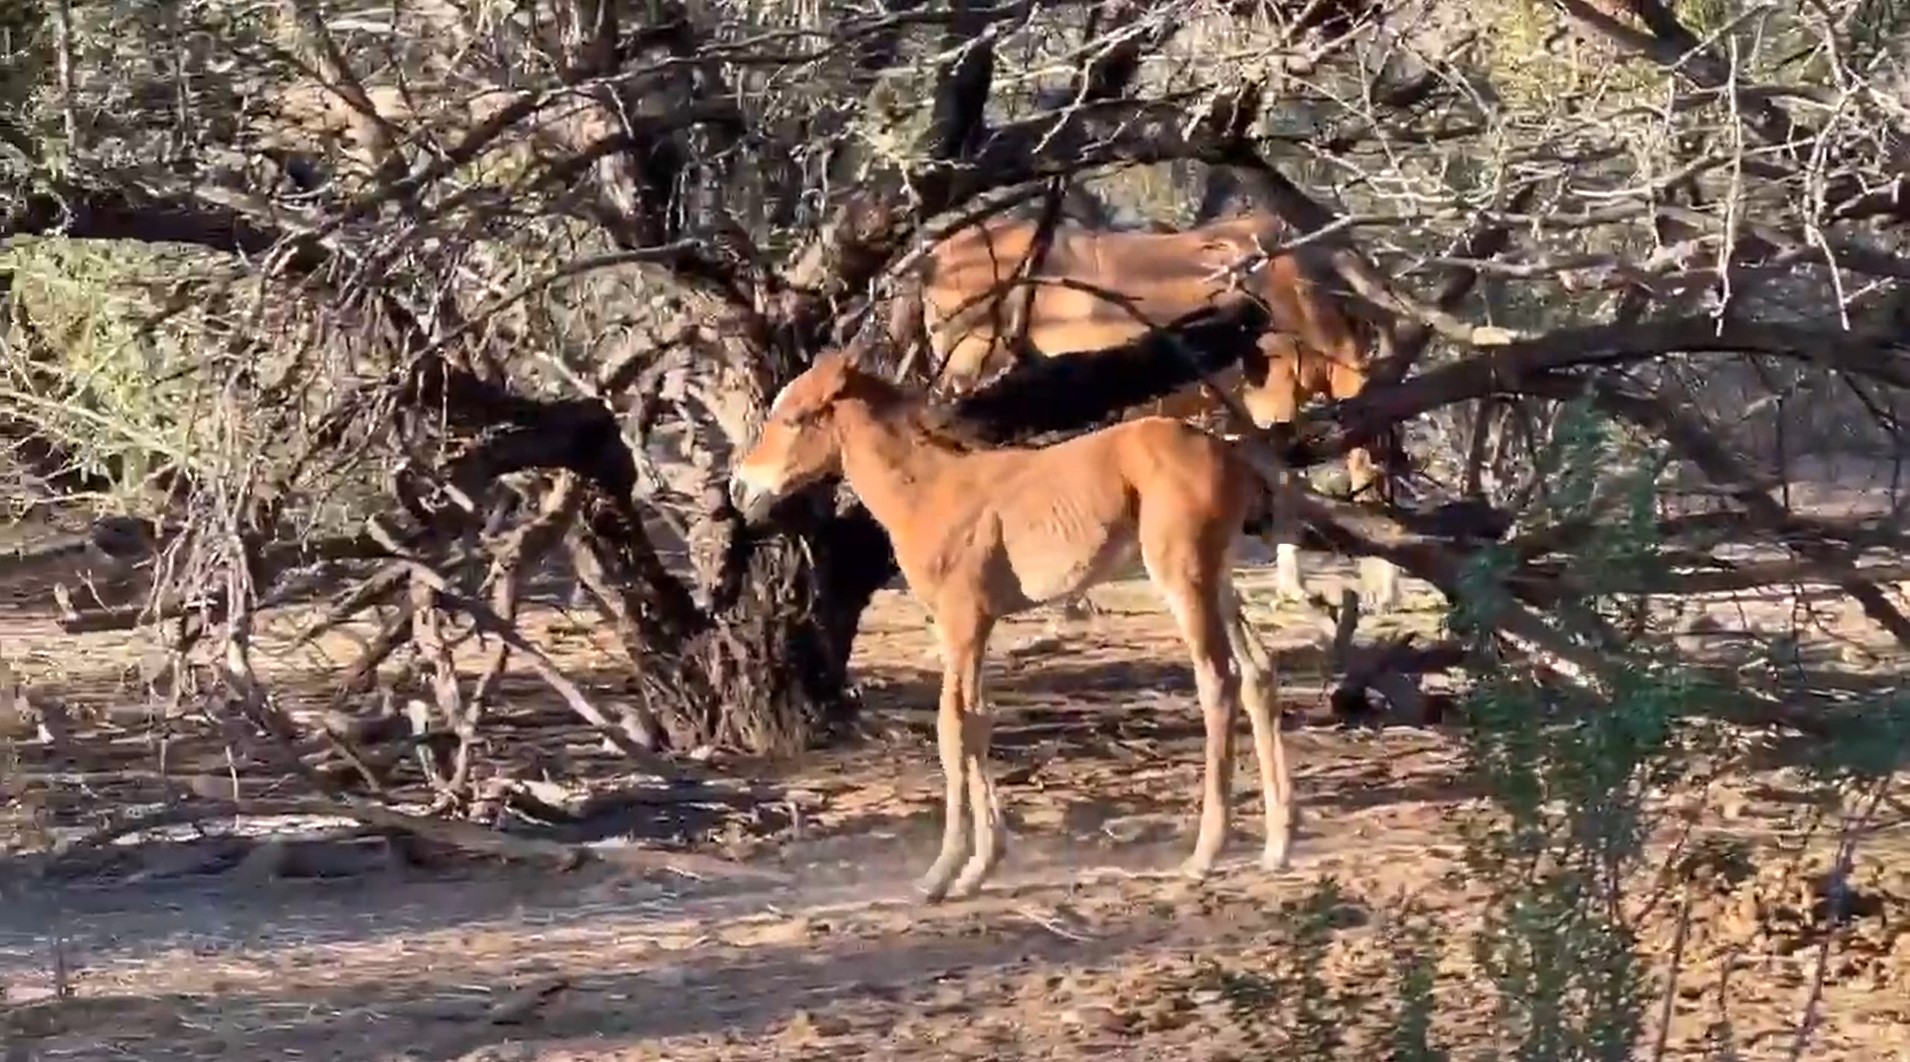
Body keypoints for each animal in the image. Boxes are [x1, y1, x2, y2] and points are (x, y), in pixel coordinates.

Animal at [728, 349, 1296, 904]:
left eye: (793, 418)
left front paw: (942, 873)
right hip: (1218, 579)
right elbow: (978, 721)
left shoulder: (962, 621)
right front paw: (979, 867)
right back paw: (1276, 846)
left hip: (1183, 577)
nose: (740, 487)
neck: (927, 490)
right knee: (1258, 672)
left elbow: (952, 727)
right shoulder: (971, 625)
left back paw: (1205, 855)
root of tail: (1232, 457)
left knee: (1217, 680)